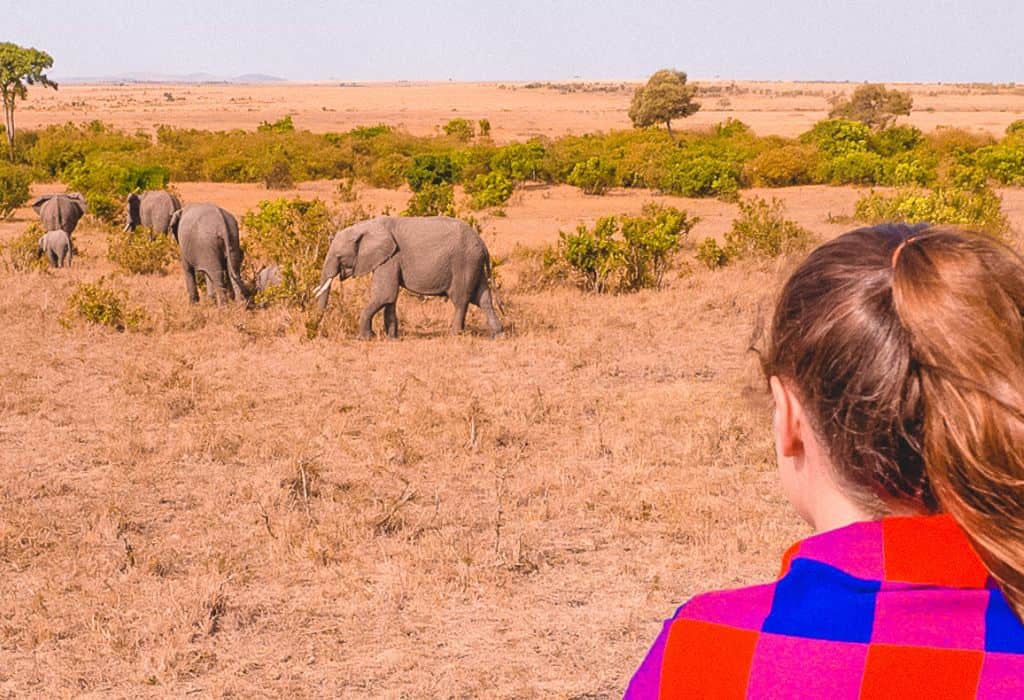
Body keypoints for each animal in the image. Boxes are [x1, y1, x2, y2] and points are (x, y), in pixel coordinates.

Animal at [313, 214, 501, 337]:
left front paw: (367, 337)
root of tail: (483, 244)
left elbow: (383, 295)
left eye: (339, 257)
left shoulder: (390, 258)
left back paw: (454, 335)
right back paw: (497, 334)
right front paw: (391, 337)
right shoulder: (388, 259)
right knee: (483, 298)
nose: (316, 331)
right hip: (475, 264)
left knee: (461, 299)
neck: (366, 227)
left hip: (464, 263)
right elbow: (389, 298)